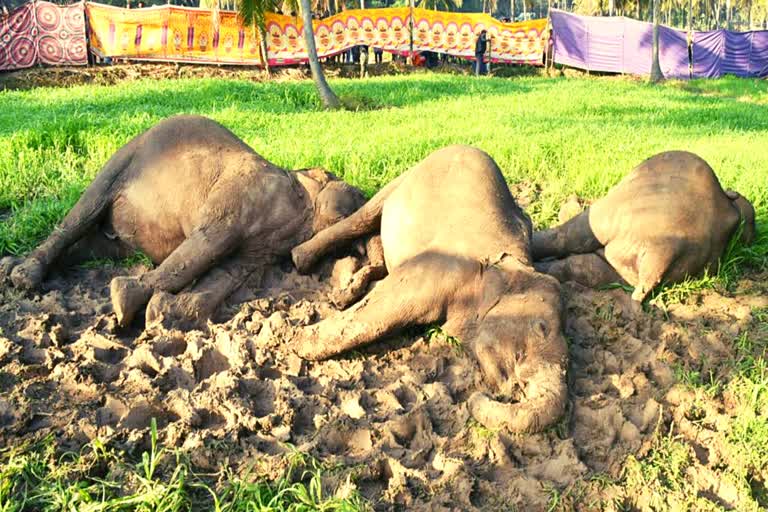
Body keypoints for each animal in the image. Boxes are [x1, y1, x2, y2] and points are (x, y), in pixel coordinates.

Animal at [0, 115, 366, 328]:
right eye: (357, 194)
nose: (365, 193)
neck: (300, 198)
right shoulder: (243, 194)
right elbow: (209, 243)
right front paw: (124, 302)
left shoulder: (266, 245)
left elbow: (231, 271)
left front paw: (163, 314)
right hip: (125, 157)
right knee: (83, 210)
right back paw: (22, 275)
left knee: (88, 246)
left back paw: (11, 268)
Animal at [292, 146, 568, 434]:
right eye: (540, 328)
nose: (474, 397)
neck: (509, 265)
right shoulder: (442, 268)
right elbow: (384, 309)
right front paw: (295, 341)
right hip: (403, 179)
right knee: (364, 217)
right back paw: (302, 260)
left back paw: (345, 293)